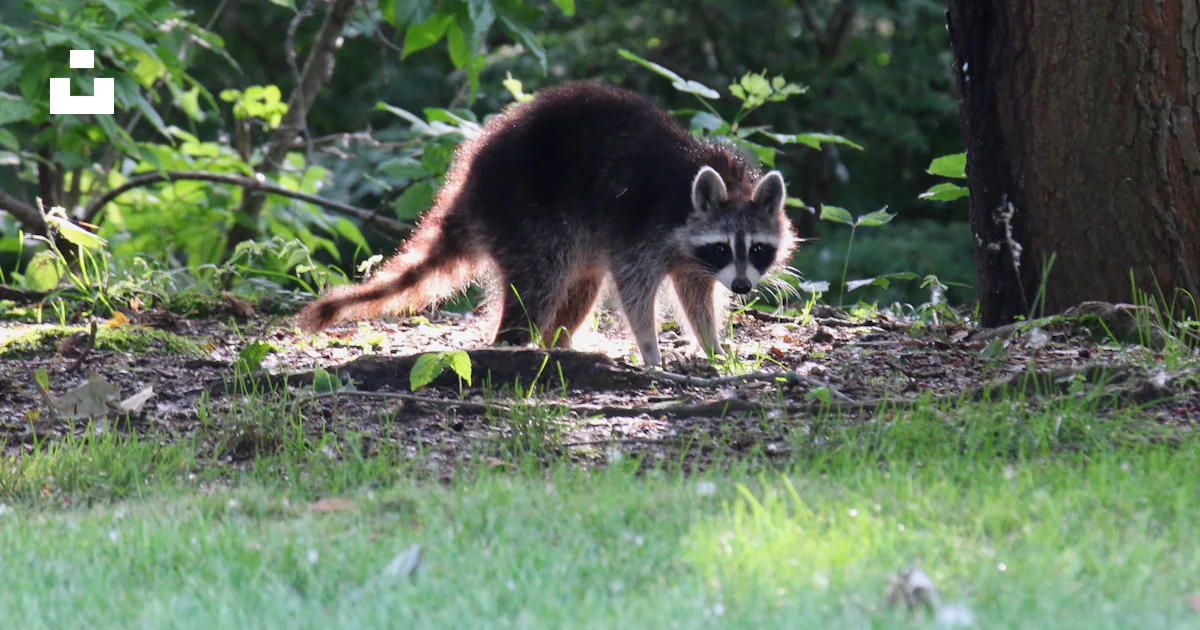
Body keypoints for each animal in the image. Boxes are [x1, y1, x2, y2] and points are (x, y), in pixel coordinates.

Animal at [297, 81, 797, 367]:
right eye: (722, 246)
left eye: (756, 249)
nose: (743, 288)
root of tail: (466, 186)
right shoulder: (641, 228)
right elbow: (635, 289)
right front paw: (650, 347)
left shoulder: (692, 256)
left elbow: (696, 296)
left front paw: (711, 344)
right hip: (525, 212)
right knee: (541, 281)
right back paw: (516, 345)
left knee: (580, 283)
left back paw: (559, 342)